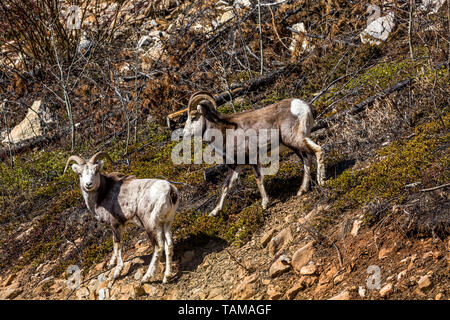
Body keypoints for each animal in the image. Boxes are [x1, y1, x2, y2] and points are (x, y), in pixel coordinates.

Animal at [64, 152, 179, 282]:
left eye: (96, 171)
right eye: (80, 174)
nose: (88, 184)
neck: (102, 195)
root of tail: (169, 190)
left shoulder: (116, 225)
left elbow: (117, 245)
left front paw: (117, 272)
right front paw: (111, 264)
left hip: (151, 225)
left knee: (158, 247)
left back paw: (146, 278)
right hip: (166, 223)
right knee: (168, 245)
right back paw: (166, 277)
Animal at [184, 92, 326, 218]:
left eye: (194, 117)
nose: (185, 133)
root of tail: (305, 106)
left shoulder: (252, 159)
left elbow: (258, 179)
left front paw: (265, 204)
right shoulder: (236, 166)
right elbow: (225, 187)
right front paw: (214, 212)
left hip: (294, 139)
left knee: (318, 150)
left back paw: (322, 181)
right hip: (295, 145)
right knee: (307, 160)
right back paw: (302, 190)